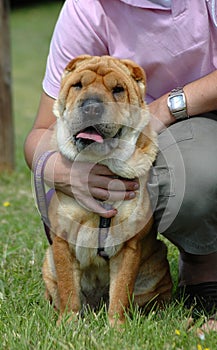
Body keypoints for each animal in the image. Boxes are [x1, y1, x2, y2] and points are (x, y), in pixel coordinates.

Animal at [41, 54, 172, 326]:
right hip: (47, 262)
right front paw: (67, 325)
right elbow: (69, 290)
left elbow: (121, 290)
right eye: (78, 85)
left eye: (118, 90)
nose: (92, 106)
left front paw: (116, 328)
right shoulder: (62, 242)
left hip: (157, 265)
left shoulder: (128, 245)